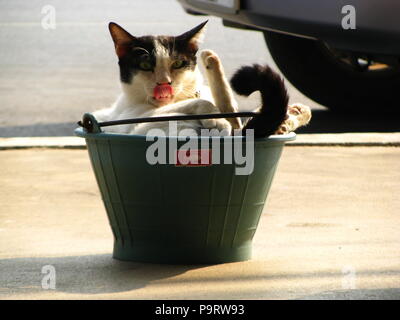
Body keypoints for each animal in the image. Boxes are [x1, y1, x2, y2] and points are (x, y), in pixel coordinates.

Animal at [92, 21, 310, 136]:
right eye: (145, 66)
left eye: (178, 64)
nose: (164, 83)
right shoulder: (135, 119)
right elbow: (203, 102)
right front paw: (218, 120)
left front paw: (296, 113)